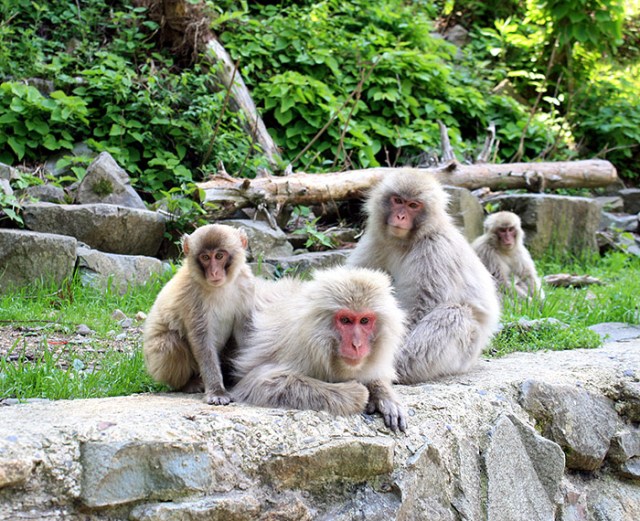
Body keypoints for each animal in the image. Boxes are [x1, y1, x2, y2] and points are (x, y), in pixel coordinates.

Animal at [143, 223, 255, 405]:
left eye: (219, 256)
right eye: (205, 257)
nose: (214, 272)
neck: (221, 287)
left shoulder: (246, 284)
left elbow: (245, 332)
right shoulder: (191, 295)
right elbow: (202, 340)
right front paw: (217, 391)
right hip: (156, 363)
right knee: (170, 342)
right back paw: (188, 384)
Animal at [231, 266, 408, 432]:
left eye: (364, 320)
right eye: (346, 320)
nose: (356, 345)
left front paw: (384, 395)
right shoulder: (299, 352)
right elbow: (262, 382)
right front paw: (357, 391)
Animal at [347, 170, 501, 384]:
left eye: (413, 205)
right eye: (398, 200)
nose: (400, 216)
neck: (405, 242)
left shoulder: (435, 249)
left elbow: (422, 306)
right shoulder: (376, 241)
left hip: (466, 351)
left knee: (455, 314)